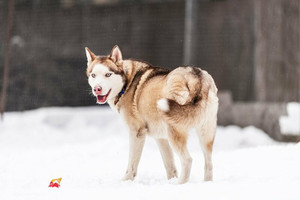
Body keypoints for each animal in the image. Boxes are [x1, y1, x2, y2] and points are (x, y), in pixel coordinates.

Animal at [84, 45, 218, 184]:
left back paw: (180, 183)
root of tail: (196, 76)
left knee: (188, 160)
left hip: (175, 133)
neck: (126, 83)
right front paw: (170, 180)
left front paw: (126, 180)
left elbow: (132, 164)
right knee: (208, 163)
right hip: (205, 134)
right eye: (93, 75)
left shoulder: (137, 132)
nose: (97, 89)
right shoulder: (161, 138)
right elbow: (170, 166)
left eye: (108, 74)